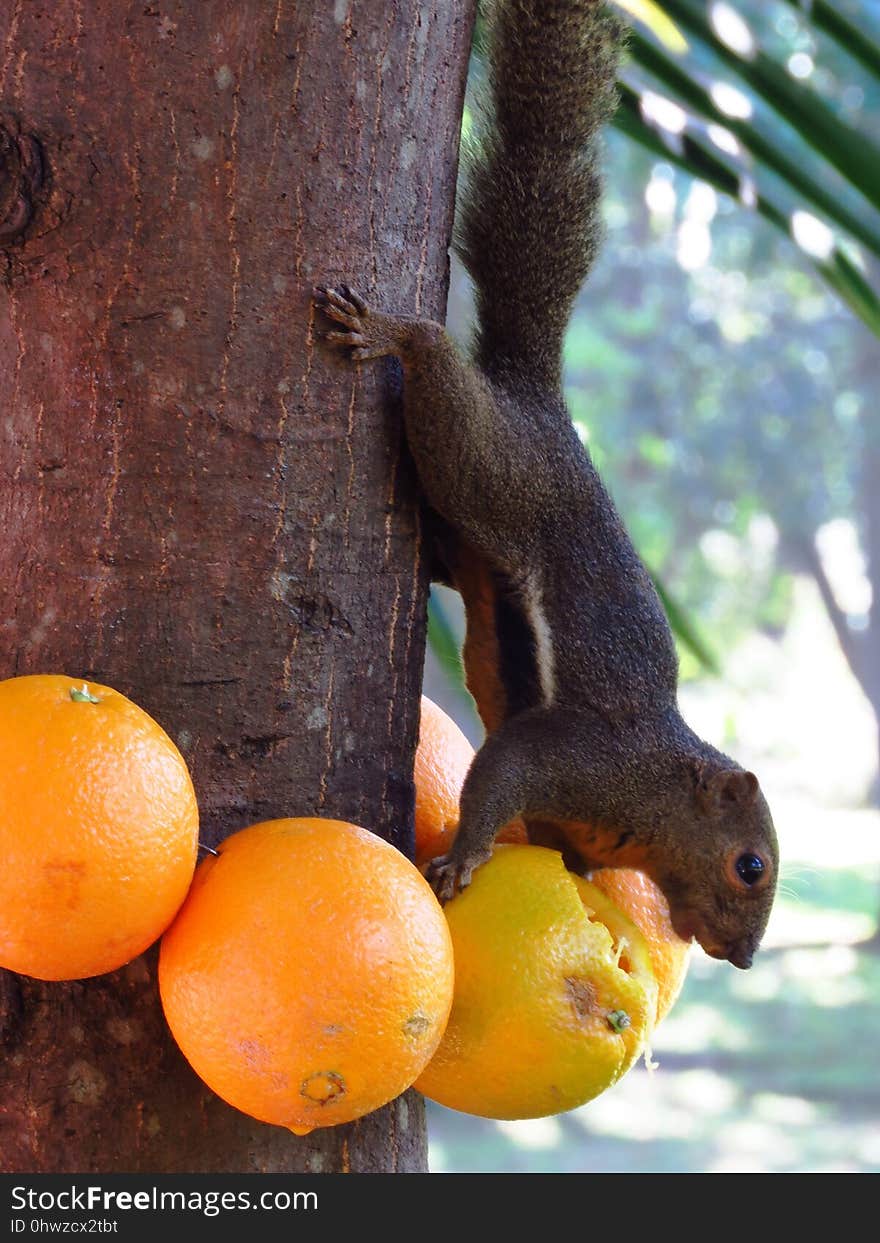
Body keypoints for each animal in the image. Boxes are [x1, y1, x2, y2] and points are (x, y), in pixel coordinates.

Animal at [314, 0, 775, 969]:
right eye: (749, 864)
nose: (747, 958)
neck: (657, 802)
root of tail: (537, 400)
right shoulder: (580, 761)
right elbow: (504, 772)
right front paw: (464, 858)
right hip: (492, 467)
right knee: (439, 375)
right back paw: (394, 333)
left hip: (470, 527)